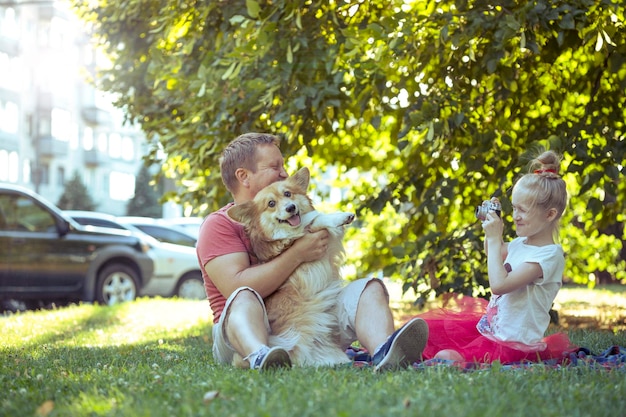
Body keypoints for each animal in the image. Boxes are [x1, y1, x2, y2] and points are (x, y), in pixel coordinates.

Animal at [228, 167, 356, 366]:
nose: (291, 208)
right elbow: (317, 218)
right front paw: (340, 217)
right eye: (271, 203)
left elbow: (316, 218)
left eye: (288, 194)